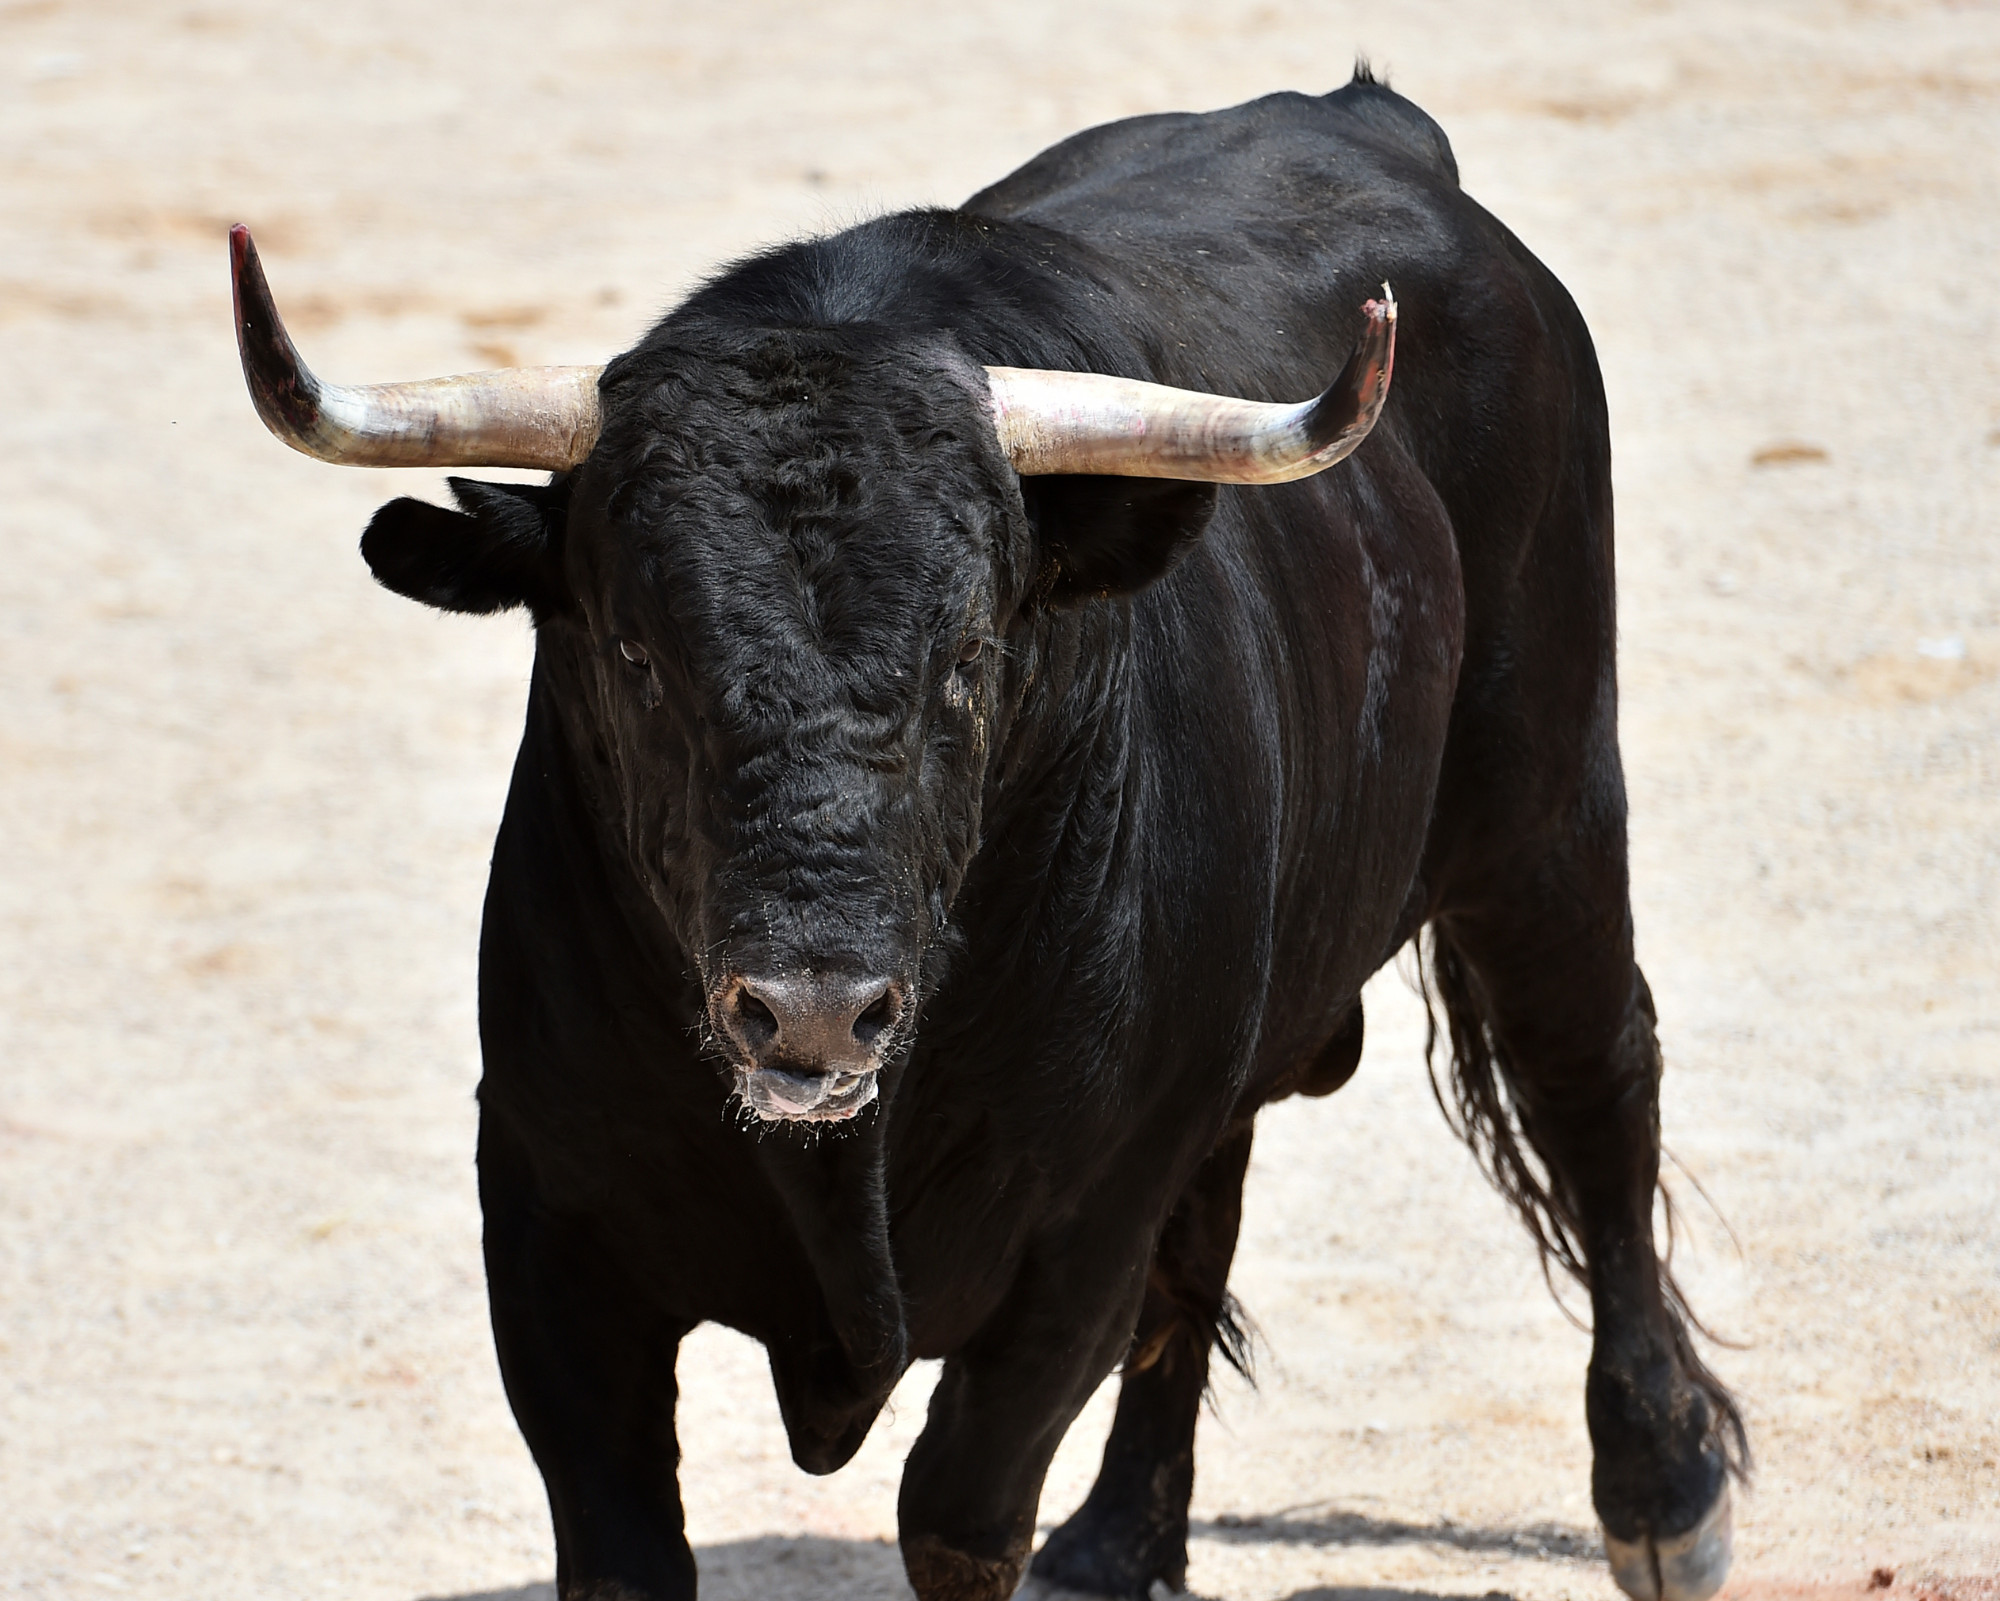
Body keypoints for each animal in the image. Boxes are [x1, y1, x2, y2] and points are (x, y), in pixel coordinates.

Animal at [230, 68, 1744, 1601]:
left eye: (966, 654)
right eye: (634, 652)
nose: (813, 1011)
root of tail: (1363, 116)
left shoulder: (1078, 1238)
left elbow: (959, 1508)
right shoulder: (549, 1213)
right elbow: (624, 1541)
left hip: (1548, 810)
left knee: (1593, 1083)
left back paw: (1665, 1494)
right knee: (1219, 1212)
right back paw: (1119, 1540)